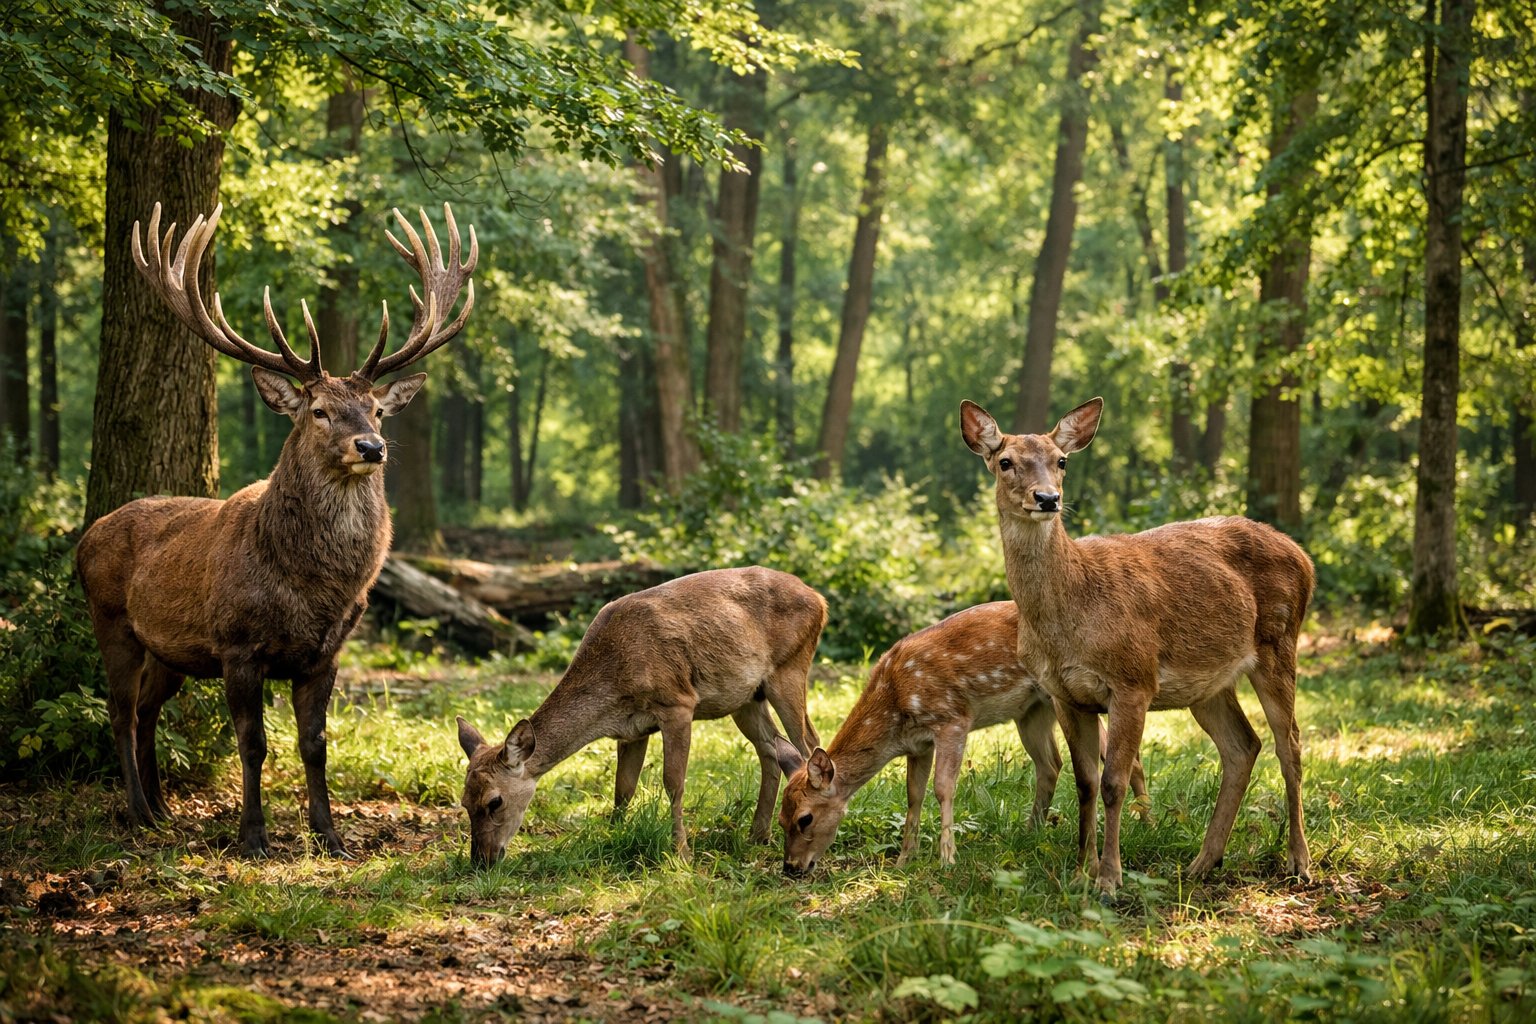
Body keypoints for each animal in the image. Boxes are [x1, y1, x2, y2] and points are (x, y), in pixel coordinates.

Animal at [75, 201, 477, 857]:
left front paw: (330, 835)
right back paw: (136, 811)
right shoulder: (239, 645)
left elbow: (314, 745)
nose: (372, 446)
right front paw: (254, 837)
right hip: (113, 621)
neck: (313, 587)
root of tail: (83, 539)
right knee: (120, 710)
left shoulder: (326, 653)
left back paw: (161, 810)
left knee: (150, 710)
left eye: (378, 409)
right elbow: (254, 744)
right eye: (318, 411)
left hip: (171, 650)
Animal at [454, 566, 825, 868]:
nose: (482, 860)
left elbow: (673, 783)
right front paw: (611, 837)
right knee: (771, 749)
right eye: (464, 801)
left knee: (808, 743)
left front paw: (682, 854)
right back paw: (757, 835)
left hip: (790, 668)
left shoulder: (678, 703)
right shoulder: (632, 729)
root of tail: (820, 600)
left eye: (494, 801)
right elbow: (623, 788)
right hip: (746, 697)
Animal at [777, 601, 1149, 876]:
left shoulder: (952, 719)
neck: (896, 700)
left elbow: (943, 787)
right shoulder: (918, 744)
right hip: (1031, 710)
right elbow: (913, 794)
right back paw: (1031, 831)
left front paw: (947, 859)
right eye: (780, 819)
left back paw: (1147, 823)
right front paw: (904, 859)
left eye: (805, 818)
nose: (791, 867)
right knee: (1051, 764)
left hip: (1066, 699)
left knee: (1126, 759)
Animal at [960, 397, 1315, 894]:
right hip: (1208, 683)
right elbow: (1085, 783)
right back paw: (1203, 862)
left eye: (1061, 461)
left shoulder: (1133, 680)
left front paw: (1110, 878)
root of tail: (1305, 558)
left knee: (1291, 745)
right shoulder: (1064, 694)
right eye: (1006, 461)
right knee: (1243, 745)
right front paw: (1080, 871)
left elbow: (1114, 782)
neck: (1067, 619)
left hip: (1279, 640)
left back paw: (1299, 861)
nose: (1047, 499)